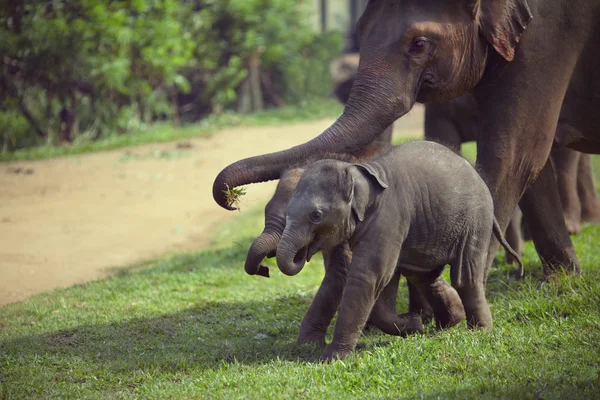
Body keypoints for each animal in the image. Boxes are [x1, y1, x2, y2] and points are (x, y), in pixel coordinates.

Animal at [216, 0, 600, 276]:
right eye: (360, 30)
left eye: (420, 44)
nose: (231, 200)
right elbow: (531, 159)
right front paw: (562, 277)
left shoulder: (546, 38)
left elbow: (516, 152)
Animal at [276, 141, 520, 362]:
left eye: (316, 215)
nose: (303, 254)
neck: (361, 170)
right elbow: (385, 281)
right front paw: (415, 325)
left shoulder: (388, 217)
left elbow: (369, 275)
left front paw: (331, 358)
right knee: (423, 276)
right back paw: (450, 322)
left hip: (475, 220)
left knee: (464, 277)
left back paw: (480, 331)